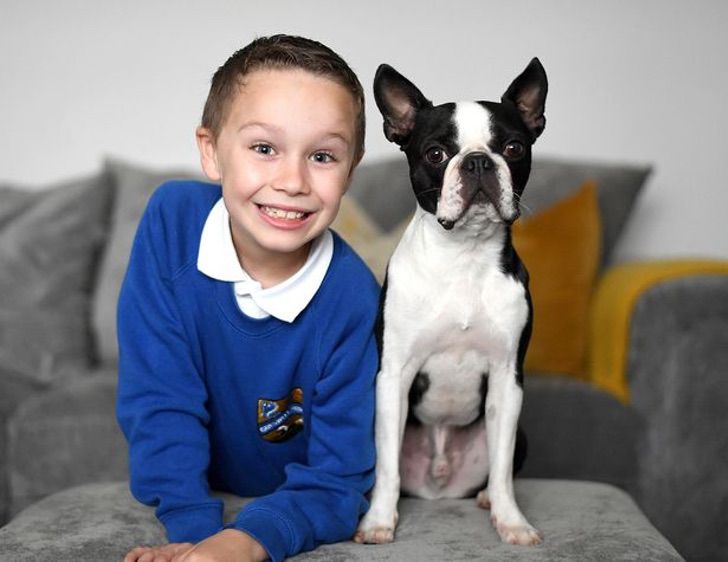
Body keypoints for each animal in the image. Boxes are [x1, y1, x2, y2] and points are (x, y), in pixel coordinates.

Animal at [356, 59, 548, 544]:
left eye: (514, 148)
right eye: (436, 154)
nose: (478, 161)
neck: (465, 256)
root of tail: (437, 486)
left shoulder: (507, 378)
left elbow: (502, 468)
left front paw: (511, 521)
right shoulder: (394, 375)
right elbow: (386, 469)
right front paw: (379, 522)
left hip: (520, 431)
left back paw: (485, 500)